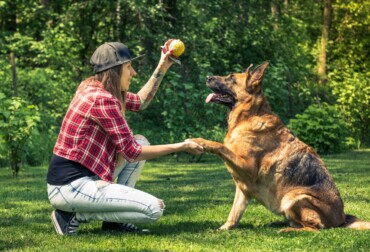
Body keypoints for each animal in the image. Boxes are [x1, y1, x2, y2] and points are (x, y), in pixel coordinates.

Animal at [192, 63, 370, 232]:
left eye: (230, 77)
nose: (207, 77)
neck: (249, 116)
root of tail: (342, 219)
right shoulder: (243, 188)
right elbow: (234, 214)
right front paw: (225, 228)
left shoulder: (247, 167)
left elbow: (220, 146)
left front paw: (200, 141)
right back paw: (278, 223)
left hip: (294, 197)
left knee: (314, 228)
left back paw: (287, 229)